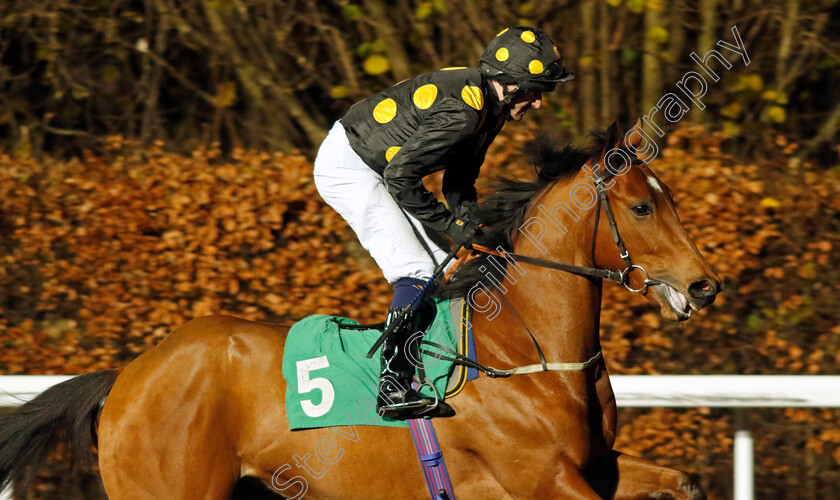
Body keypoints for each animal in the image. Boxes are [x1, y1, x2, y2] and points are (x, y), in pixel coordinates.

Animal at [0, 122, 720, 500]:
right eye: (642, 206)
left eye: (671, 197)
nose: (705, 284)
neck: (524, 351)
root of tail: (126, 374)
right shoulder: (541, 480)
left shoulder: (596, 466)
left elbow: (684, 482)